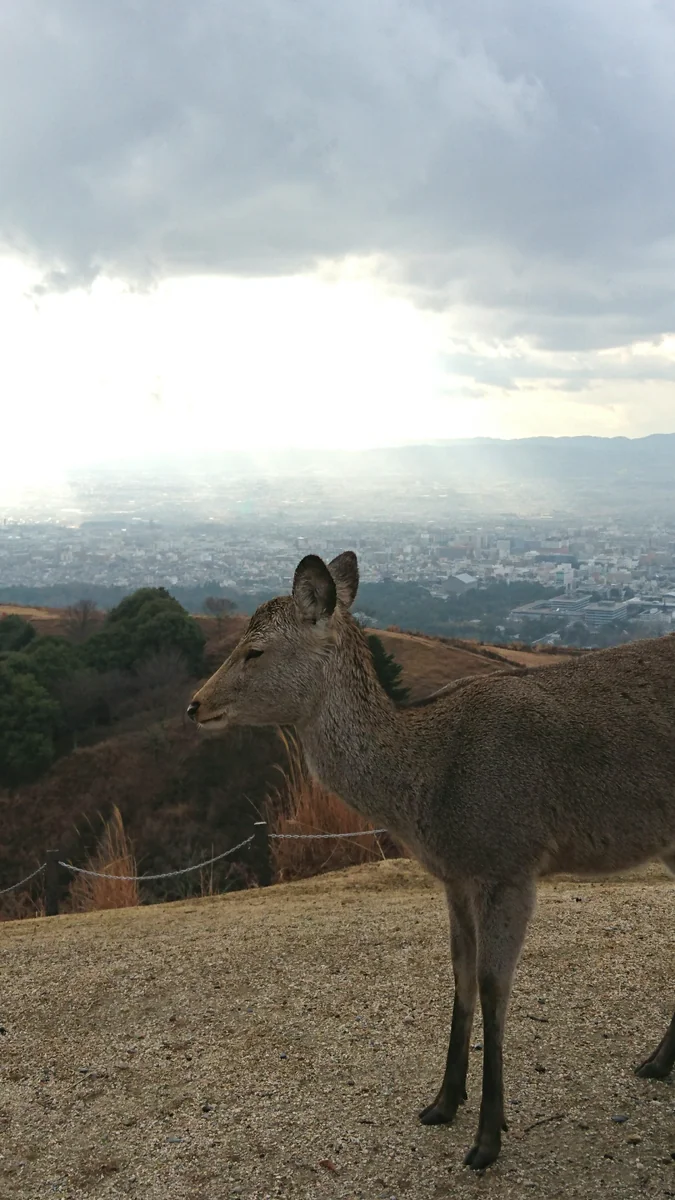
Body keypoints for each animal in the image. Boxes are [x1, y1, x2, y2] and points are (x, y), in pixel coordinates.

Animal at [187, 551, 675, 1170]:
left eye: (255, 650)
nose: (195, 705)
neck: (427, 783)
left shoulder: (508, 863)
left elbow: (493, 988)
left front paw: (487, 1140)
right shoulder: (454, 876)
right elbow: (460, 975)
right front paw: (442, 1103)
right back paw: (657, 1063)